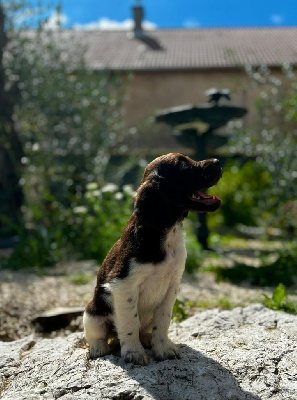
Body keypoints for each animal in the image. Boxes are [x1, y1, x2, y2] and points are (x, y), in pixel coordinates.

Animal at [82, 153, 221, 366]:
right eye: (184, 165)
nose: (218, 162)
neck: (164, 232)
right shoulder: (123, 285)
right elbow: (130, 322)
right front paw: (134, 352)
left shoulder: (172, 285)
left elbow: (163, 320)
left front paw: (162, 347)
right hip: (91, 312)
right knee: (97, 334)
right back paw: (98, 348)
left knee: (144, 329)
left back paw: (146, 339)